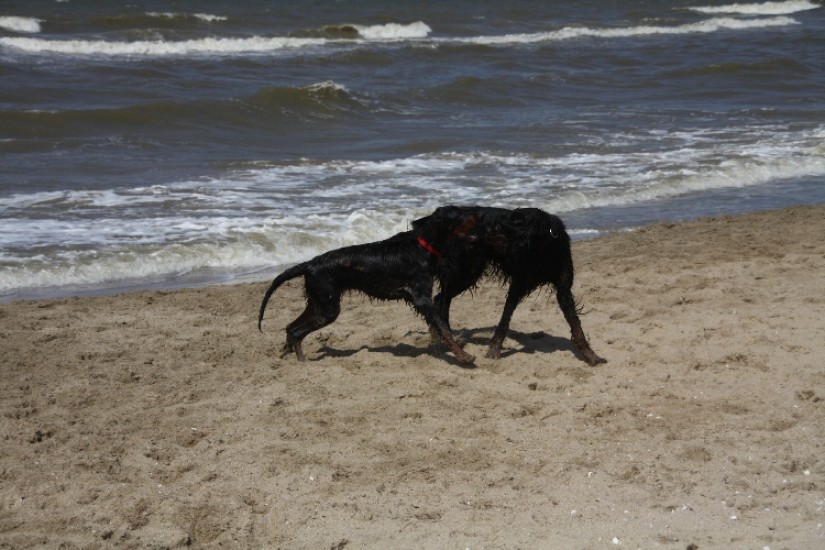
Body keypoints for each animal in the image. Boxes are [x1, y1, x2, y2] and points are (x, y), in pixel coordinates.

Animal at [258, 210, 479, 366]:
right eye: (459, 216)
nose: (478, 215)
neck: (422, 246)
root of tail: (310, 264)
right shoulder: (422, 298)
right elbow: (444, 328)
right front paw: (464, 356)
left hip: (318, 302)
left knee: (290, 327)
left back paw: (286, 354)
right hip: (328, 308)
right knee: (296, 331)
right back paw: (302, 362)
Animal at [413, 206, 605, 366]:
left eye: (501, 228)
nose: (480, 229)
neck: (545, 248)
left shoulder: (563, 288)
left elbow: (576, 325)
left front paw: (591, 355)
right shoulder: (518, 283)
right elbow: (505, 319)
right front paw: (494, 350)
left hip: (469, 272)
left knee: (441, 299)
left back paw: (441, 336)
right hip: (466, 271)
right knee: (441, 299)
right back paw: (438, 337)